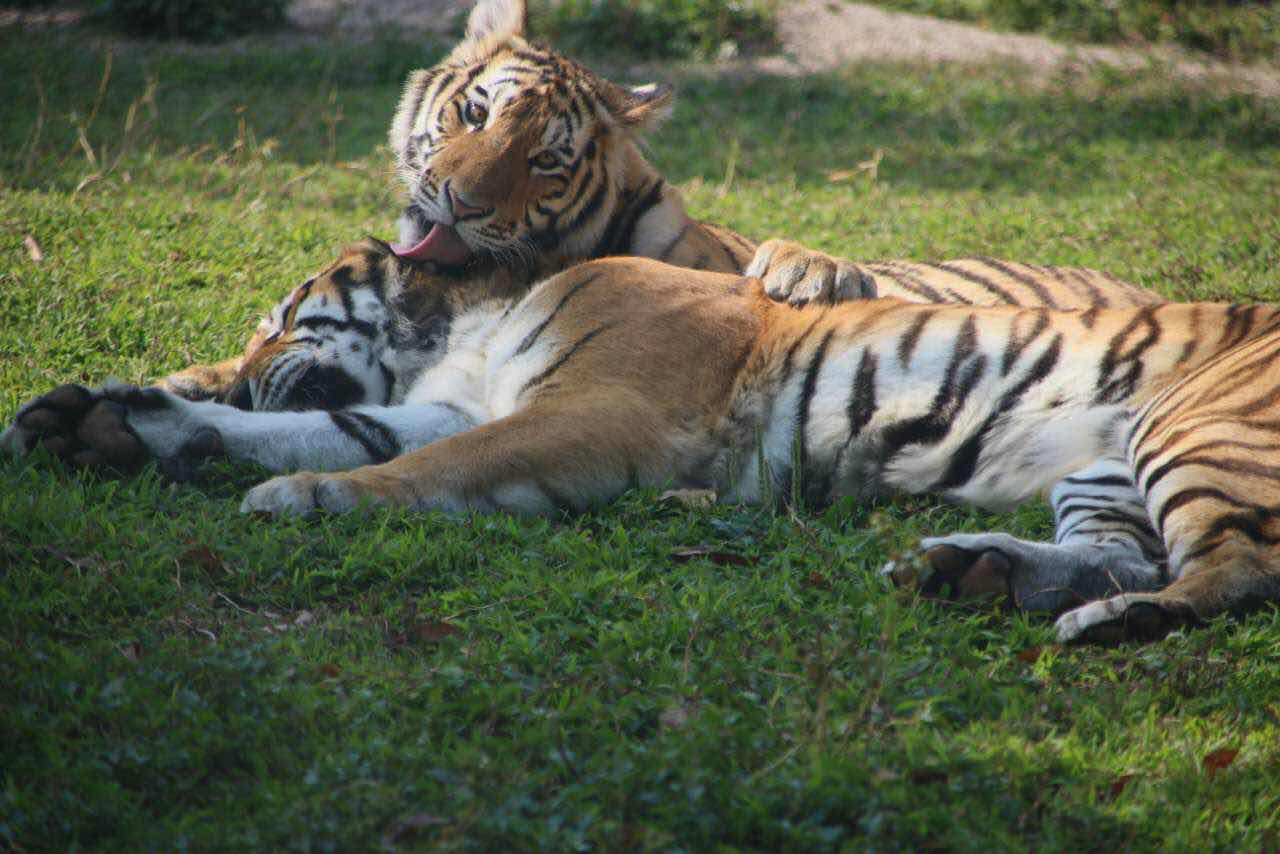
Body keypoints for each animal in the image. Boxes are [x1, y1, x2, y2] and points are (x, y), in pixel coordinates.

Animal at [10, 236, 1280, 645]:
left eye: (279, 318)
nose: (241, 358)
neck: (461, 332)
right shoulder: (455, 399)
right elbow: (326, 430)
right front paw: (119, 423)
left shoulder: (595, 406)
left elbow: (415, 466)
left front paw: (296, 503)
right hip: (1101, 462)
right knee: (1119, 548)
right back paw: (969, 573)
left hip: (1191, 427)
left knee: (1232, 569)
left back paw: (1104, 622)